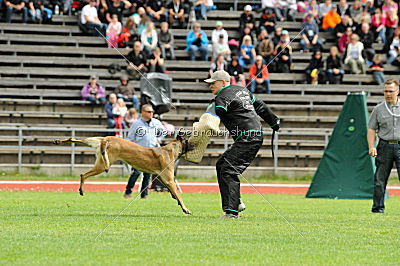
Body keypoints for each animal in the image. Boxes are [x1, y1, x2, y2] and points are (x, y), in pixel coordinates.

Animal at [53, 135, 194, 214]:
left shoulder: (165, 180)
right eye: (188, 141)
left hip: (93, 143)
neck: (170, 149)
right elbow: (179, 195)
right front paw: (185, 208)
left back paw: (59, 141)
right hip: (102, 166)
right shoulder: (169, 180)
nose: (194, 145)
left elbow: (174, 194)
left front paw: (177, 201)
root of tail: (107, 140)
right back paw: (81, 189)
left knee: (74, 139)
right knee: (83, 174)